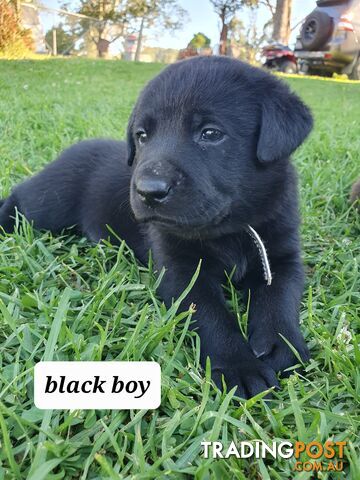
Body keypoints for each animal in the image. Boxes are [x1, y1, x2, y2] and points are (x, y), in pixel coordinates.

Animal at [0, 56, 312, 398]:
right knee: (16, 199)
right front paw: (239, 366)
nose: (148, 191)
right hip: (46, 204)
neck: (231, 228)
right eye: (142, 136)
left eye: (211, 133)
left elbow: (280, 298)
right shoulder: (180, 270)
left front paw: (281, 345)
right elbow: (211, 314)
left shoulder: (283, 256)